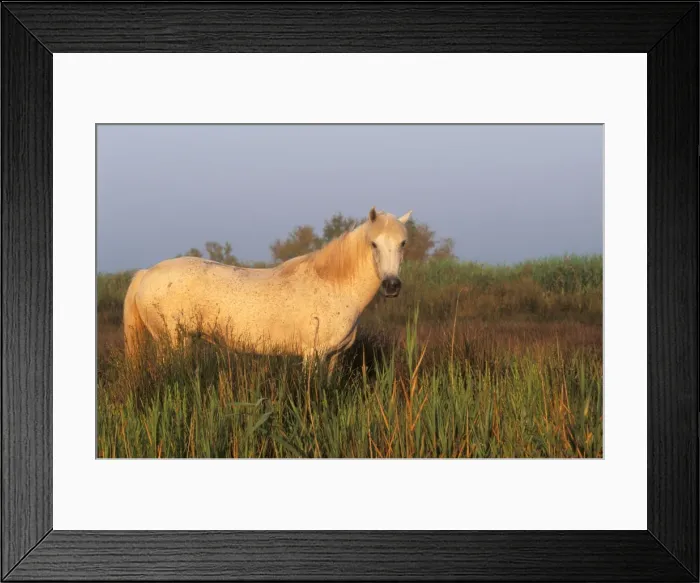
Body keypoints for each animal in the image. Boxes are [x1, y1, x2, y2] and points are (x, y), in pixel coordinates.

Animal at [123, 207, 412, 371]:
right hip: (173, 343)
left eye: (403, 243)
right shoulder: (313, 355)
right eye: (374, 244)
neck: (333, 285)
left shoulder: (333, 356)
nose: (392, 285)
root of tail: (147, 273)